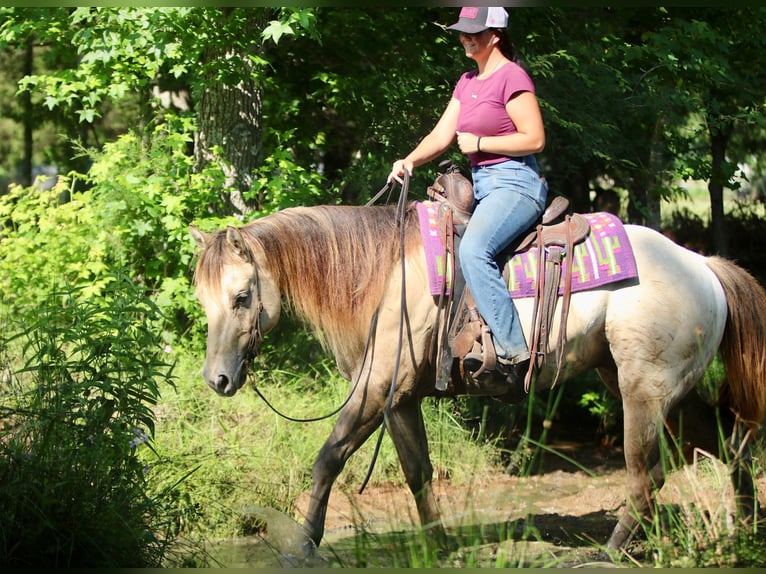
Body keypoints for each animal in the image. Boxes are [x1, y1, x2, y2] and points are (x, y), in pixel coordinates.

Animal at [189, 201, 766, 556]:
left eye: (242, 296)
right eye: (203, 298)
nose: (217, 379)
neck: (386, 275)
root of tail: (702, 266)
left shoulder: (375, 391)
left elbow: (327, 459)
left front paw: (305, 541)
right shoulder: (399, 399)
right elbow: (418, 471)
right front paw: (437, 546)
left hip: (642, 395)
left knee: (647, 478)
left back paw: (609, 552)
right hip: (667, 392)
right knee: (730, 446)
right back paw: (743, 531)